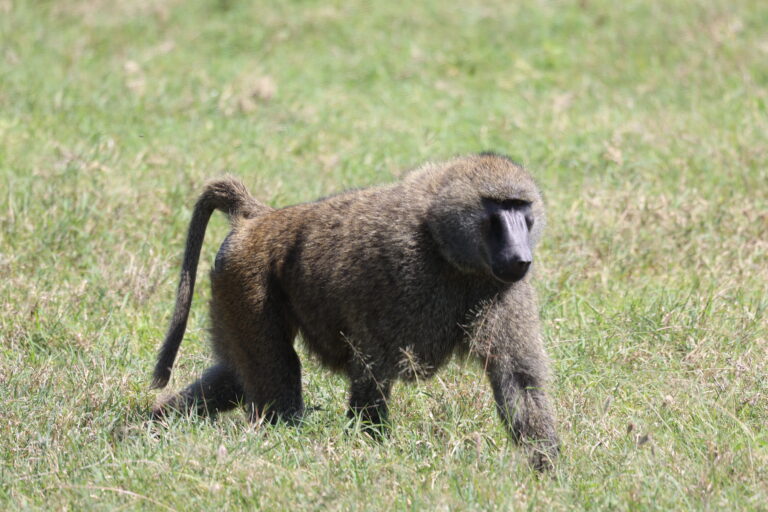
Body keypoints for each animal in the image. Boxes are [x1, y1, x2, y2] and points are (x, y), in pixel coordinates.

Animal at [150, 153, 559, 470]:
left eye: (522, 208)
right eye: (498, 208)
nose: (521, 258)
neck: (443, 244)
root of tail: (260, 217)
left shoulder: (500, 288)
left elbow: (518, 379)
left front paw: (548, 470)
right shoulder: (397, 272)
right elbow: (372, 371)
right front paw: (373, 452)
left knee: (236, 377)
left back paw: (156, 423)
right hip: (246, 277)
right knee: (278, 379)